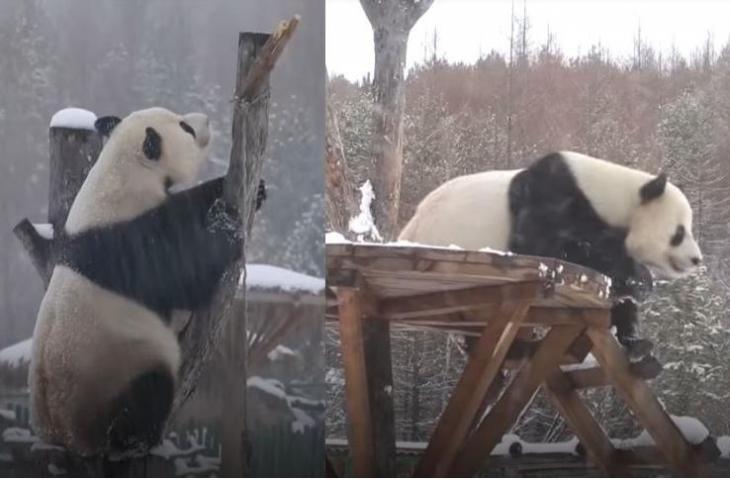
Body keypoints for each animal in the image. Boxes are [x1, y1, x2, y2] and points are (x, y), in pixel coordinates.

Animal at [29, 107, 247, 457]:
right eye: (185, 128)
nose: (205, 120)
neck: (121, 174)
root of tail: (61, 438)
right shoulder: (128, 245)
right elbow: (184, 278)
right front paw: (227, 230)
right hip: (121, 369)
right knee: (147, 393)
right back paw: (137, 439)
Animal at [399, 151, 702, 356]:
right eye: (679, 232)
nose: (696, 259)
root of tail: (408, 229)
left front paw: (635, 341)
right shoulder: (551, 196)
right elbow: (550, 246)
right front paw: (640, 278)